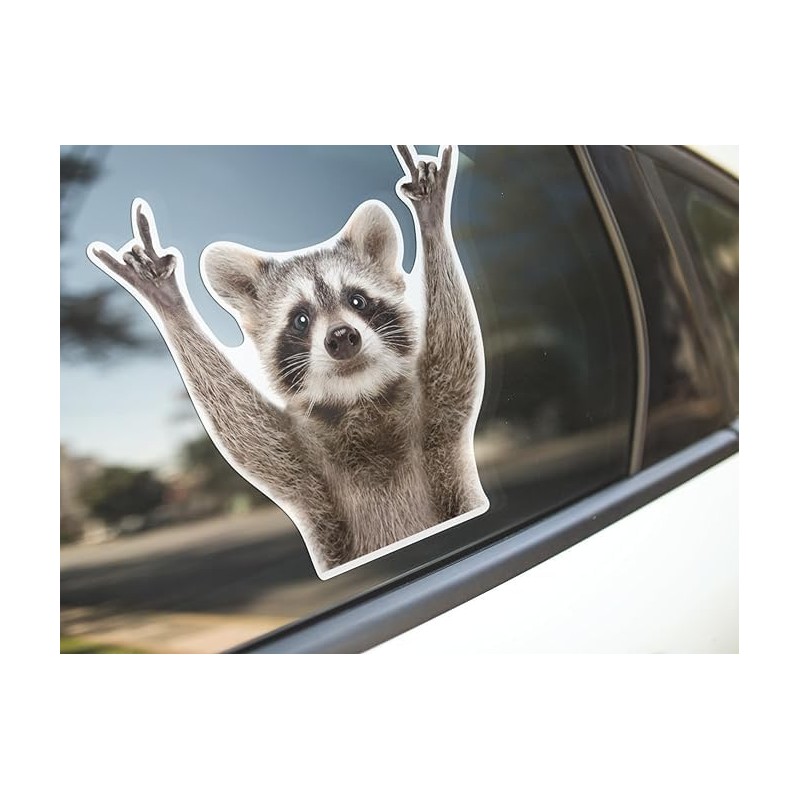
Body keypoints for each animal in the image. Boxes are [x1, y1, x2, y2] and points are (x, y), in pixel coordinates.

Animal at [89, 145, 489, 576]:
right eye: (300, 319)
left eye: (357, 300)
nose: (342, 338)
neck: (358, 399)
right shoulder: (307, 475)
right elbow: (247, 431)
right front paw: (169, 303)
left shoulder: (436, 436)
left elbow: (455, 364)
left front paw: (430, 222)